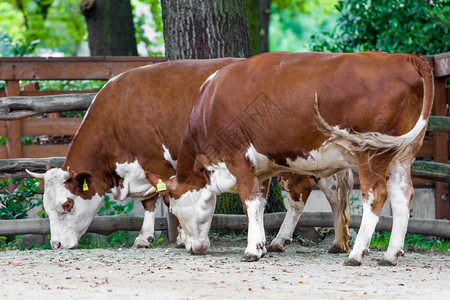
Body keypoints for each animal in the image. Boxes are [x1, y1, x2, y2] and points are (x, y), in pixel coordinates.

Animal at [147, 51, 432, 264]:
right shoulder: (261, 169)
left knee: (376, 194)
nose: (191, 248)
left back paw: (356, 253)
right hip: (400, 155)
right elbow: (260, 205)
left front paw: (252, 249)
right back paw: (390, 255)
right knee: (402, 196)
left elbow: (249, 202)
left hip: (370, 153)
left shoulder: (238, 159)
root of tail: (404, 58)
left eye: (173, 208)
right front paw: (261, 244)